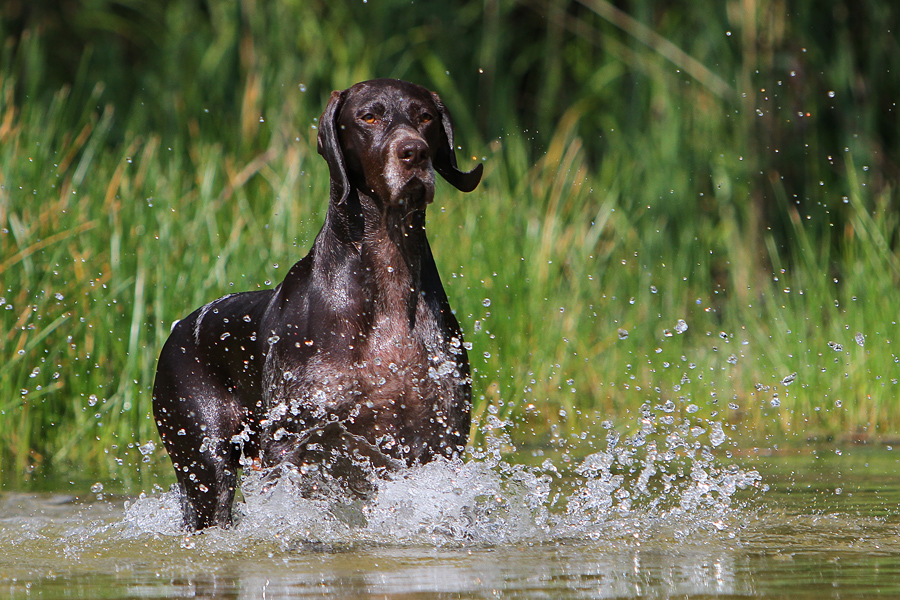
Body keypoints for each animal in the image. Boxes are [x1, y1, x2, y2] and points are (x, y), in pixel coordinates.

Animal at [151, 78, 482, 528]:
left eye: (425, 117)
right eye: (369, 116)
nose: (414, 152)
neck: (388, 279)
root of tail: (179, 329)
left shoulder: (440, 442)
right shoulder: (290, 442)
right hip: (205, 465)